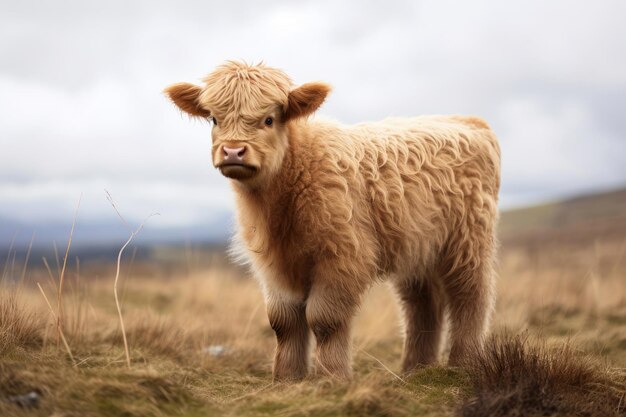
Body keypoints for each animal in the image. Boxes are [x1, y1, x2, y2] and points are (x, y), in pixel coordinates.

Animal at [163, 61, 500, 380]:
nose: (233, 151)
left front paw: (332, 377)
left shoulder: (343, 256)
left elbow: (324, 319)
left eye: (269, 119)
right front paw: (287, 377)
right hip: (418, 249)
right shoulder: (273, 264)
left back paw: (463, 365)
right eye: (214, 119)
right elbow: (283, 321)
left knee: (471, 297)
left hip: (468, 242)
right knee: (423, 305)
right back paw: (415, 370)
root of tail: (468, 121)